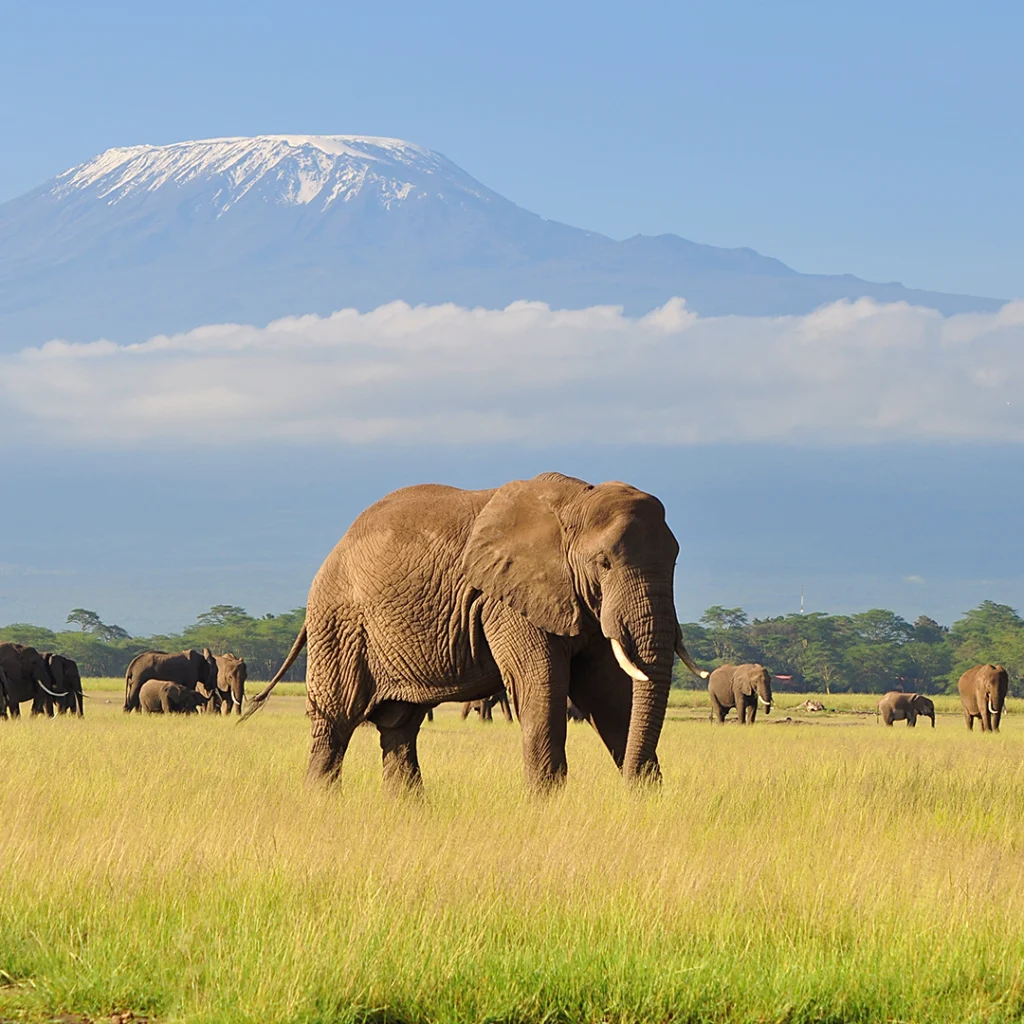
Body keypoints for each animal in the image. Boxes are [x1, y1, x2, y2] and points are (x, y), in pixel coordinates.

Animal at [243, 471, 708, 790]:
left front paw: (644, 799)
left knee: (399, 728)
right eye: (604, 563)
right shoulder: (505, 600)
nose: (629, 784)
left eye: (675, 561)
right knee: (335, 723)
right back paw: (322, 805)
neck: (575, 502)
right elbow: (541, 685)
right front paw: (548, 807)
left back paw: (410, 814)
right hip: (340, 624)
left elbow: (609, 694)